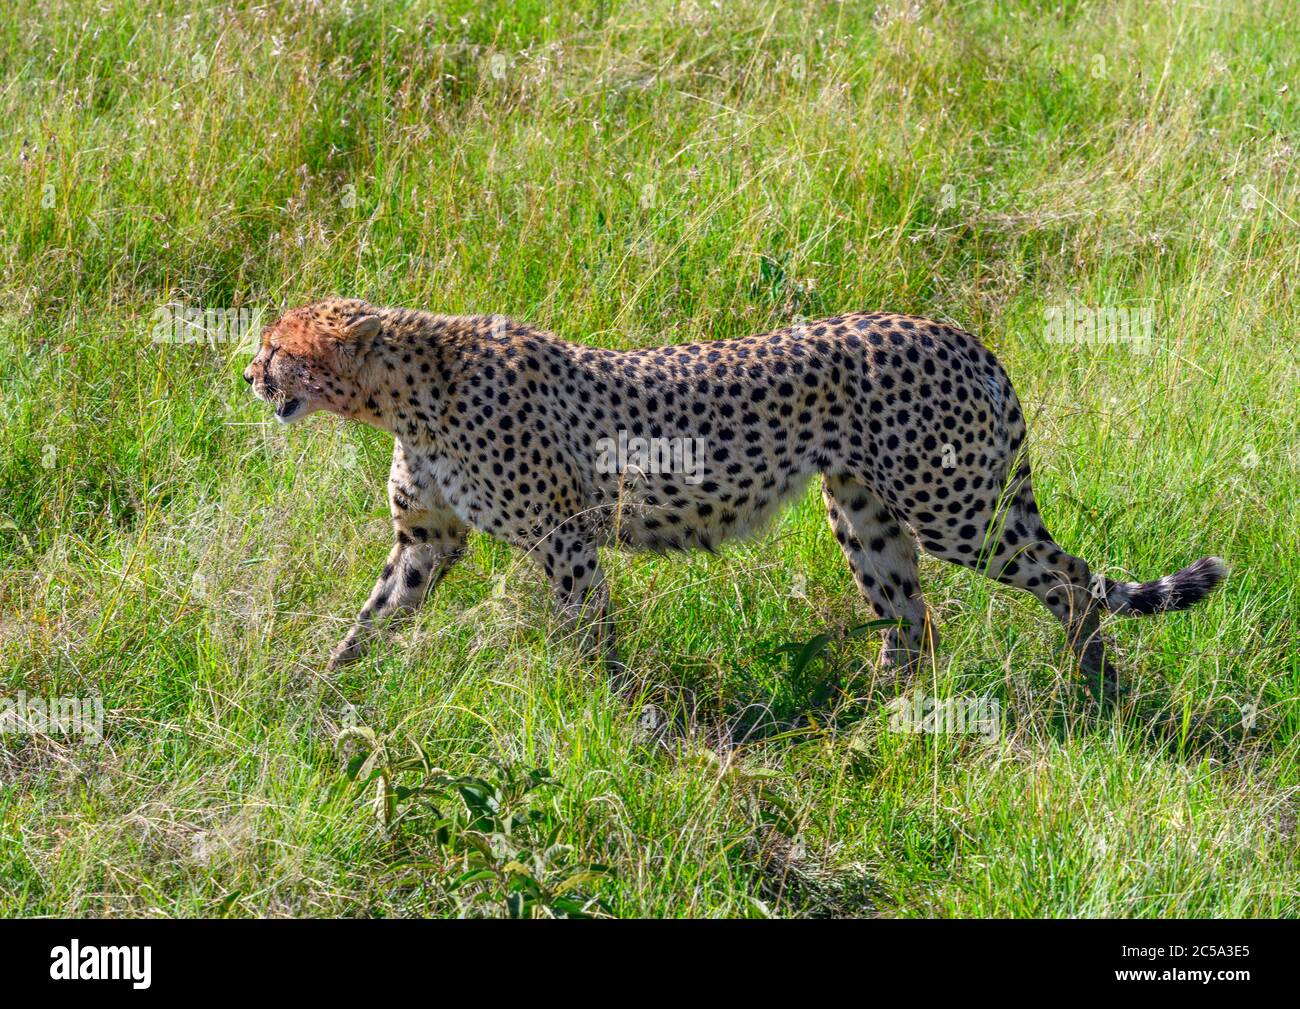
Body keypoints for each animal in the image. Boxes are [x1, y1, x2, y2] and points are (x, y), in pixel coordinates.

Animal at [245, 295, 1227, 696]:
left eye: (279, 346)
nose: (249, 375)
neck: (407, 389)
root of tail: (952, 329)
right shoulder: (427, 541)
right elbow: (371, 620)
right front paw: (315, 693)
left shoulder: (567, 537)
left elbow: (587, 636)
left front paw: (611, 716)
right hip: (863, 514)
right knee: (913, 622)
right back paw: (871, 723)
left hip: (957, 509)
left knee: (1073, 576)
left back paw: (1093, 686)